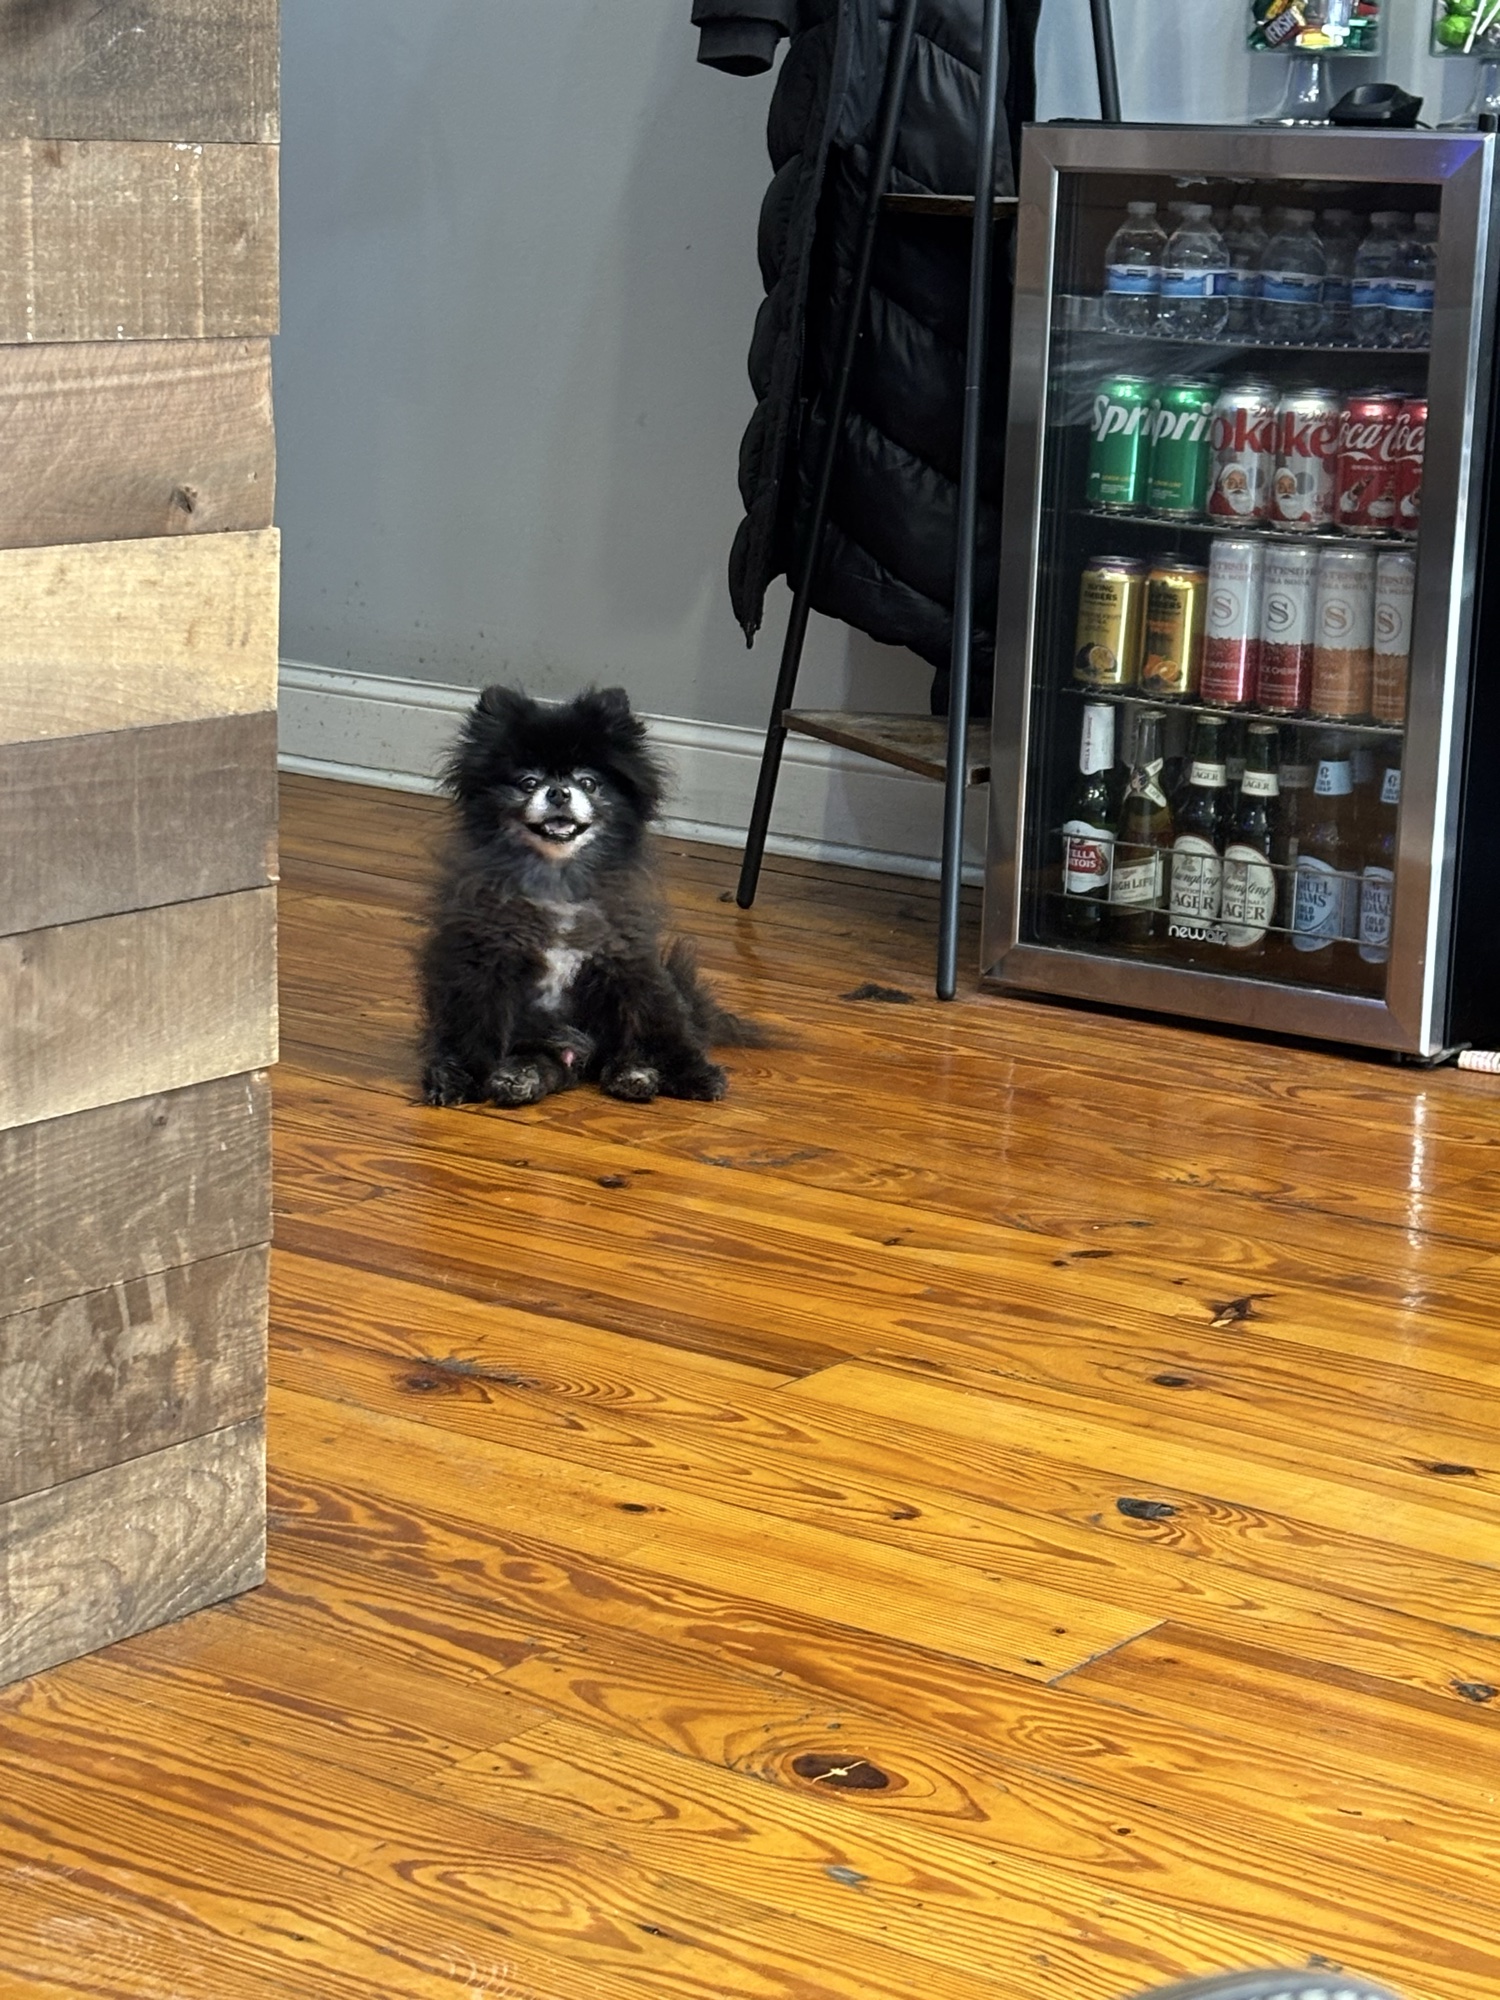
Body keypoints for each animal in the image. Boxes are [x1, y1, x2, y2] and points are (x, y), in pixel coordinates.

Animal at [419, 685, 762, 1108]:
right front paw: (460, 1077)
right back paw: (520, 1078)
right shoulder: (483, 962)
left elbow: (664, 1026)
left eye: (588, 783)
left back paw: (634, 1074)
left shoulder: (629, 964)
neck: (558, 880)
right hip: (542, 1042)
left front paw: (696, 1075)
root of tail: (580, 1054)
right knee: (541, 1060)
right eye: (528, 783)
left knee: (633, 1045)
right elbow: (471, 1027)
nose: (559, 792)